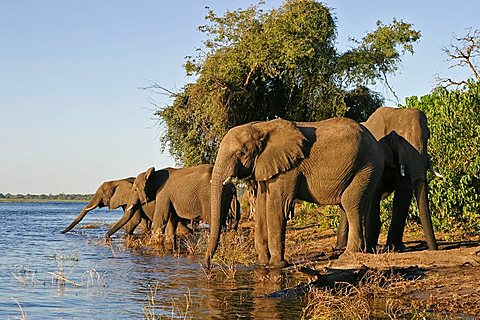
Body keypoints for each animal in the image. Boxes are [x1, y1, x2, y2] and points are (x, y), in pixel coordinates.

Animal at [204, 117, 384, 268]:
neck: (262, 127)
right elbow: (261, 206)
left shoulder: (289, 168)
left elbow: (277, 206)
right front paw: (262, 264)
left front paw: (276, 265)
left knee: (350, 204)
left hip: (367, 166)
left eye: (240, 153)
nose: (207, 265)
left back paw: (348, 256)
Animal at [336, 106, 436, 251]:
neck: (394, 113)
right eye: (400, 138)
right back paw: (342, 247)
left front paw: (395, 248)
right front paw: (371, 249)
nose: (434, 248)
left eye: (428, 135)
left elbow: (404, 192)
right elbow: (375, 193)